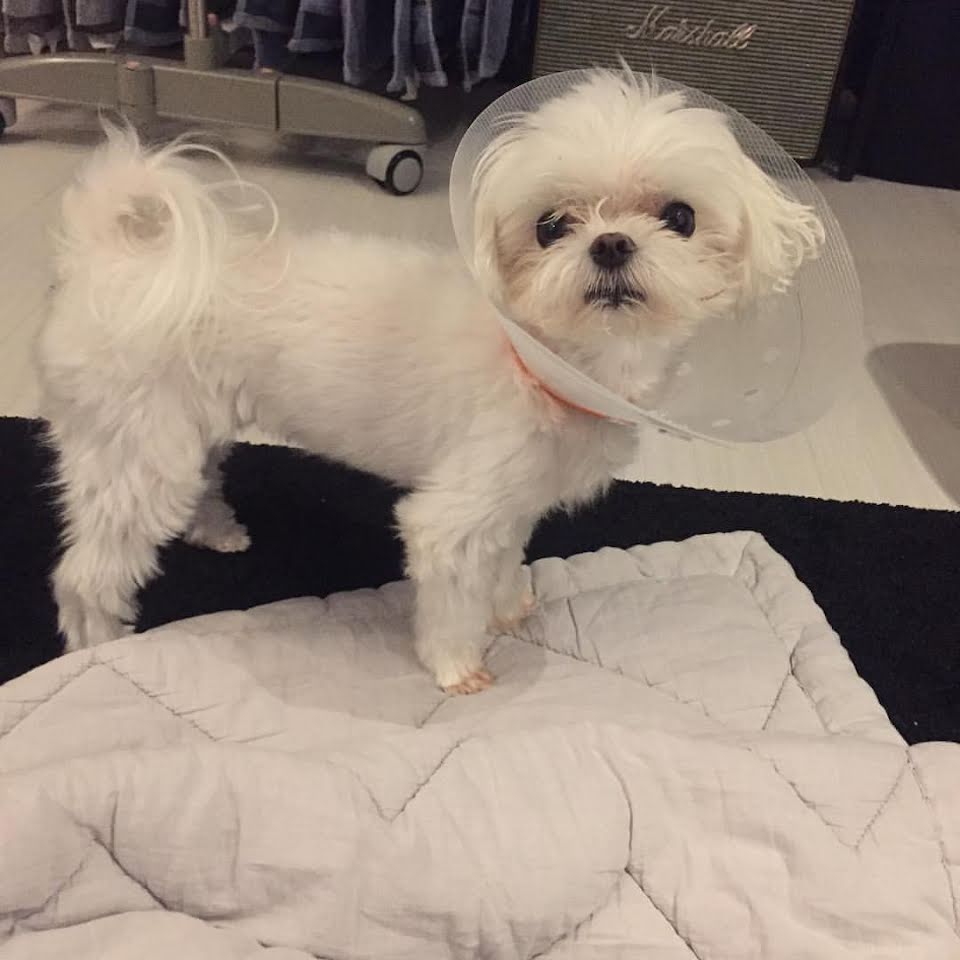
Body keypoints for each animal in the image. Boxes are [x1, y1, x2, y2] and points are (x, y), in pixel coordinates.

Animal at [38, 69, 823, 692]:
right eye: (550, 225)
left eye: (680, 217)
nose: (610, 243)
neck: (548, 362)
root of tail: (105, 253)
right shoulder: (456, 512)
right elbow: (451, 593)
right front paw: (457, 666)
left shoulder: (514, 500)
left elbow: (504, 560)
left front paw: (508, 605)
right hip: (134, 451)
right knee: (84, 575)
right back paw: (98, 651)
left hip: (182, 430)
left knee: (198, 480)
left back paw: (218, 530)